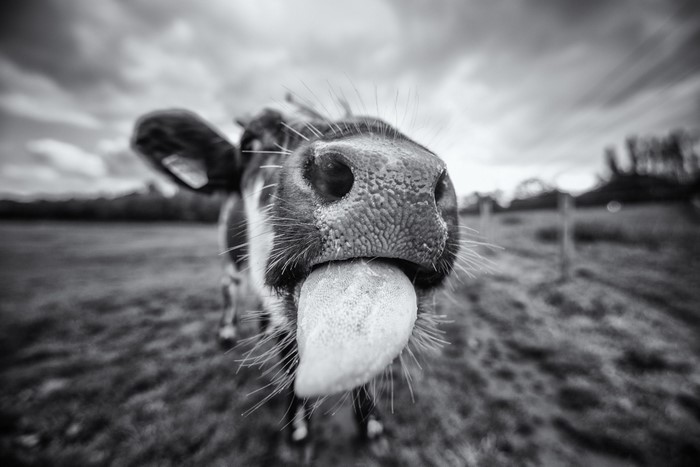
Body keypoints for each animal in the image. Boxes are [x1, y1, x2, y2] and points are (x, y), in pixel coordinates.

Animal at [130, 97, 460, 451]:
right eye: (249, 142)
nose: (395, 172)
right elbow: (291, 360)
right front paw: (299, 427)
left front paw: (370, 421)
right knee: (229, 286)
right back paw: (227, 332)